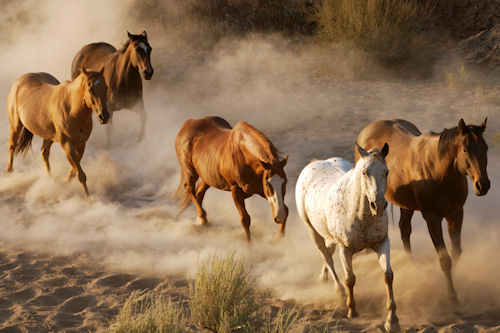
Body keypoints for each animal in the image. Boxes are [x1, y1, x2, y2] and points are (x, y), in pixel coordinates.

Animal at [5, 67, 109, 197]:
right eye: (91, 89)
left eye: (106, 88)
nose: (104, 116)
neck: (72, 110)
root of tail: (19, 81)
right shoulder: (67, 145)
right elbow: (80, 175)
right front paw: (88, 198)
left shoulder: (81, 144)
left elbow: (74, 172)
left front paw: (64, 183)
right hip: (15, 126)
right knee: (12, 146)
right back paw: (9, 172)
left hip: (48, 136)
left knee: (44, 153)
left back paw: (50, 180)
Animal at [294, 144, 400, 330]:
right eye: (365, 172)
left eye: (386, 172)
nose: (378, 205)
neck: (359, 213)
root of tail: (314, 164)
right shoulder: (345, 249)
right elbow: (350, 279)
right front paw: (352, 310)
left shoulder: (382, 243)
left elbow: (388, 275)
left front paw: (392, 319)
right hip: (313, 232)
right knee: (326, 256)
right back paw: (340, 293)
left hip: (328, 236)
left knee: (328, 253)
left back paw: (323, 277)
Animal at [358, 118, 490, 302]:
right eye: (465, 149)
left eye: (485, 148)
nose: (482, 185)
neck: (439, 171)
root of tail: (367, 130)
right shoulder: (432, 218)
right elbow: (445, 259)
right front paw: (451, 295)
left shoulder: (456, 214)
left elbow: (456, 252)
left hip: (406, 205)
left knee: (404, 229)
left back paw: (411, 264)